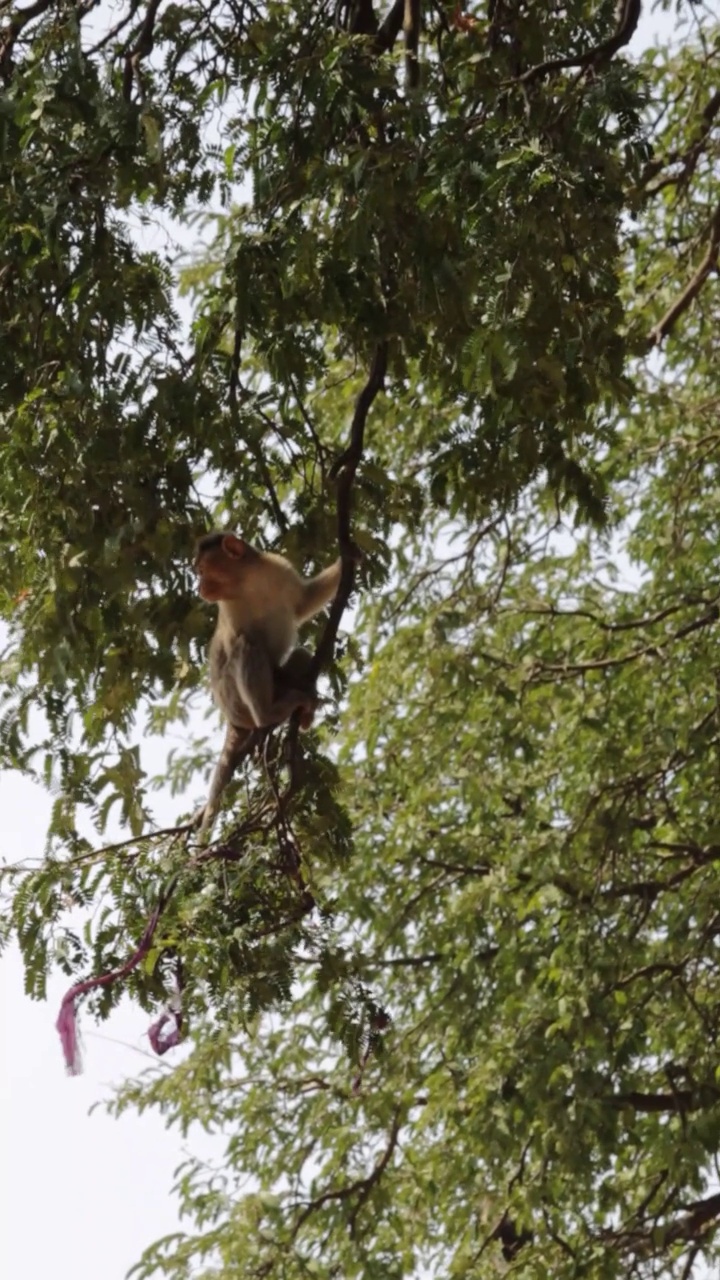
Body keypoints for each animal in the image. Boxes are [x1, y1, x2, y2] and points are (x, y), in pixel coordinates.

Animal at [192, 527, 340, 829]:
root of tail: (232, 720)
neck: (245, 581)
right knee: (247, 646)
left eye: (202, 570)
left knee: (299, 656)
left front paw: (349, 560)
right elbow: (235, 645)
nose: (200, 588)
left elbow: (304, 602)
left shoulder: (277, 567)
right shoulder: (228, 609)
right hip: (237, 704)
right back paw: (267, 713)